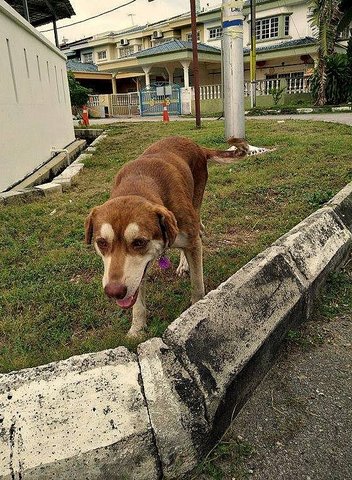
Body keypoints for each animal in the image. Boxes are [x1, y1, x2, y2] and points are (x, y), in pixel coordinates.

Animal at [85, 135, 248, 338]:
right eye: (101, 242)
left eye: (139, 242)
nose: (114, 292)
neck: (138, 185)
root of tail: (196, 145)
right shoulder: (137, 274)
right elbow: (137, 301)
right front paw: (137, 329)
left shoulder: (190, 240)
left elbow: (197, 284)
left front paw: (195, 311)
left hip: (196, 199)